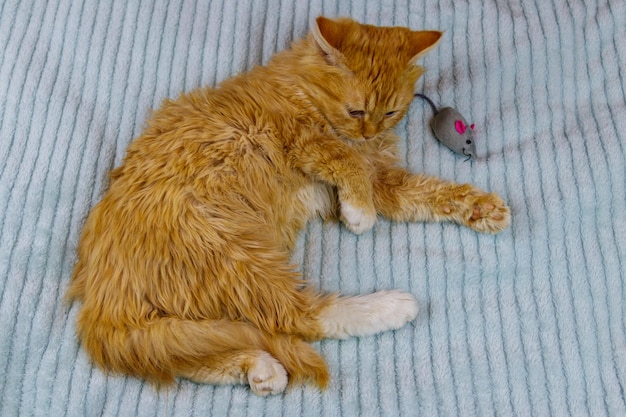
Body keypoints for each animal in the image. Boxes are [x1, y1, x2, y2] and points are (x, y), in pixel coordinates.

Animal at [67, 15, 508, 394]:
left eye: (390, 113)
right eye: (356, 110)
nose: (368, 133)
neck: (301, 87)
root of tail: (103, 300)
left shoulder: (384, 182)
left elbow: (431, 192)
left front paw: (483, 209)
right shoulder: (303, 141)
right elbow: (346, 163)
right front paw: (358, 214)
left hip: (182, 317)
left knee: (186, 350)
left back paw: (259, 369)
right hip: (235, 253)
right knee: (301, 316)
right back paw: (393, 306)